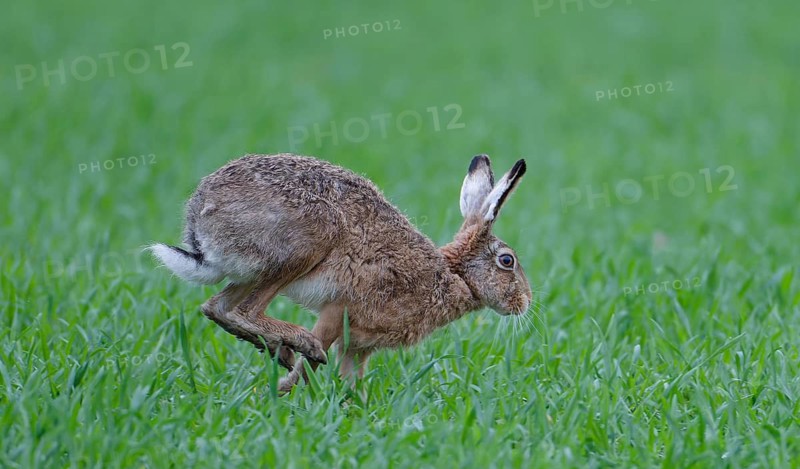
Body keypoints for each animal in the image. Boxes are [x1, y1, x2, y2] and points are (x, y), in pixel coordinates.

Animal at [150, 153, 532, 394]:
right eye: (507, 261)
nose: (525, 303)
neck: (454, 276)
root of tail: (200, 218)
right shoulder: (341, 309)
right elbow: (317, 355)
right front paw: (279, 392)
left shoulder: (358, 347)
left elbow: (352, 380)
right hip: (307, 243)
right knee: (248, 311)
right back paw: (298, 343)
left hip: (251, 272)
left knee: (217, 307)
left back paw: (277, 349)